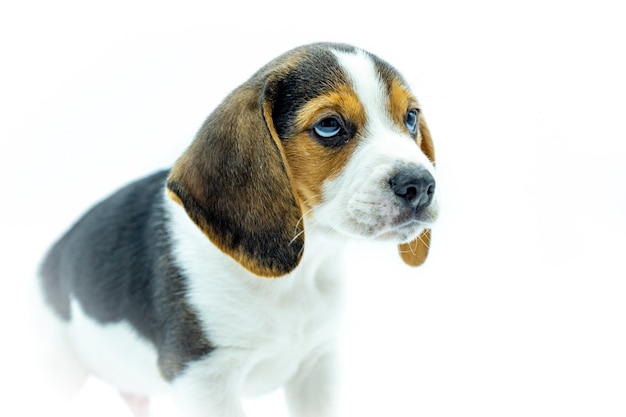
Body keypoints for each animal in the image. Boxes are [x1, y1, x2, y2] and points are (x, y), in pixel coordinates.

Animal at [39, 43, 436, 416]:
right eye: (329, 126)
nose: (420, 185)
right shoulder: (203, 377)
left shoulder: (317, 364)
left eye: (410, 118)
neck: (296, 276)